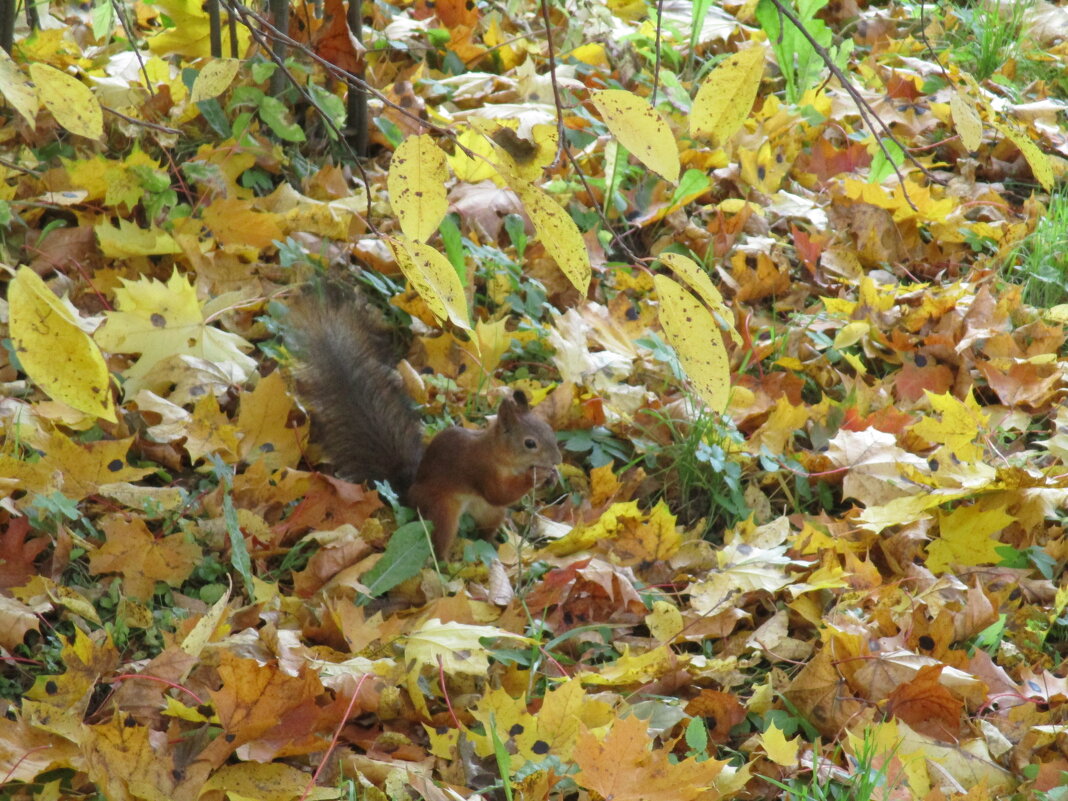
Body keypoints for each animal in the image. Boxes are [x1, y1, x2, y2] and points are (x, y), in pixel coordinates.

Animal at [288, 286, 563, 559]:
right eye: (530, 443)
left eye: (550, 430)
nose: (557, 460)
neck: (501, 456)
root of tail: (410, 495)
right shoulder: (480, 469)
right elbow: (499, 493)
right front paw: (537, 476)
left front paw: (551, 477)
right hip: (443, 510)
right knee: (440, 541)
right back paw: (447, 564)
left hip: (488, 513)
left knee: (486, 531)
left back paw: (495, 544)